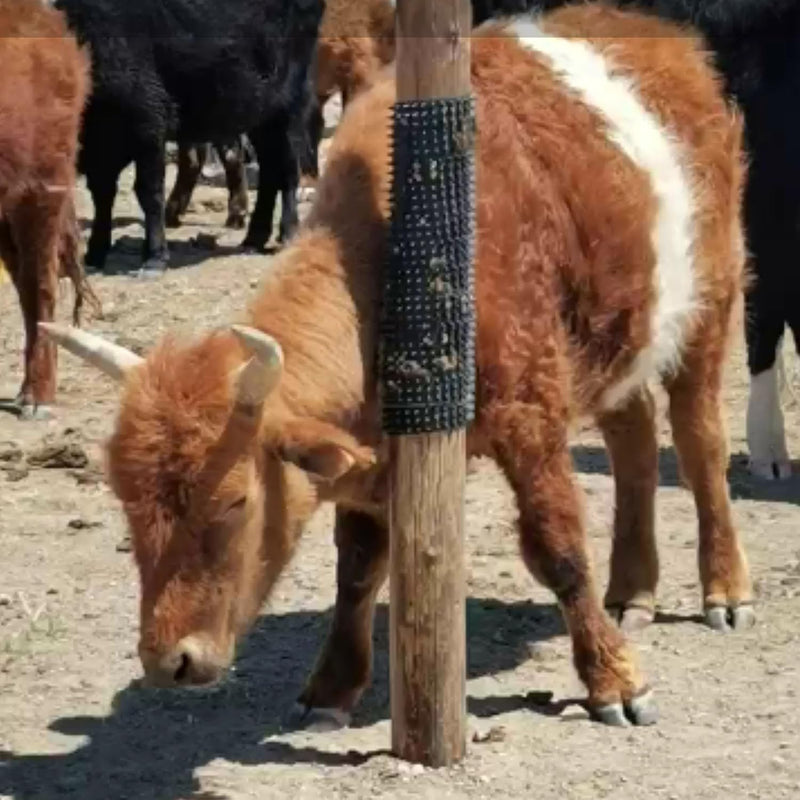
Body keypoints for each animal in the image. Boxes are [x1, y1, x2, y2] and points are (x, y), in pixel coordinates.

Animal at [54, 0, 325, 276]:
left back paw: (288, 232)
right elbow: (102, 195)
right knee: (270, 171)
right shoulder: (100, 145)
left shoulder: (149, 126)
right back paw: (254, 238)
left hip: (287, 108)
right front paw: (95, 254)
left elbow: (148, 192)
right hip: (260, 114)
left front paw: (154, 257)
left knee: (288, 169)